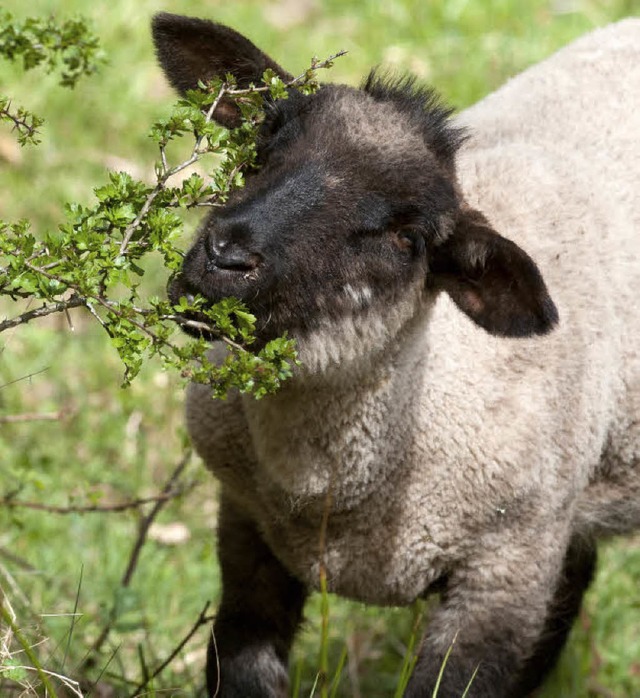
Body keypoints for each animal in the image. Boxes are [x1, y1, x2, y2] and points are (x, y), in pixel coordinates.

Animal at [151, 12, 640, 696]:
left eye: (407, 237)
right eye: (260, 151)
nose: (224, 258)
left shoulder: (507, 571)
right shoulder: (247, 528)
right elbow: (238, 666)